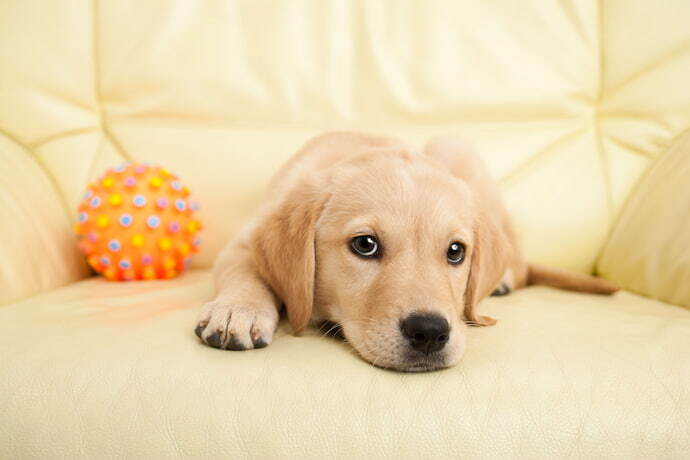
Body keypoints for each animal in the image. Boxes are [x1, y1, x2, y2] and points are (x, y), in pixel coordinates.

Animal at [191, 131, 616, 372]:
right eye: (365, 245)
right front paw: (238, 310)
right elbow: (245, 269)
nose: (430, 333)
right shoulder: (243, 240)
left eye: (456, 251)